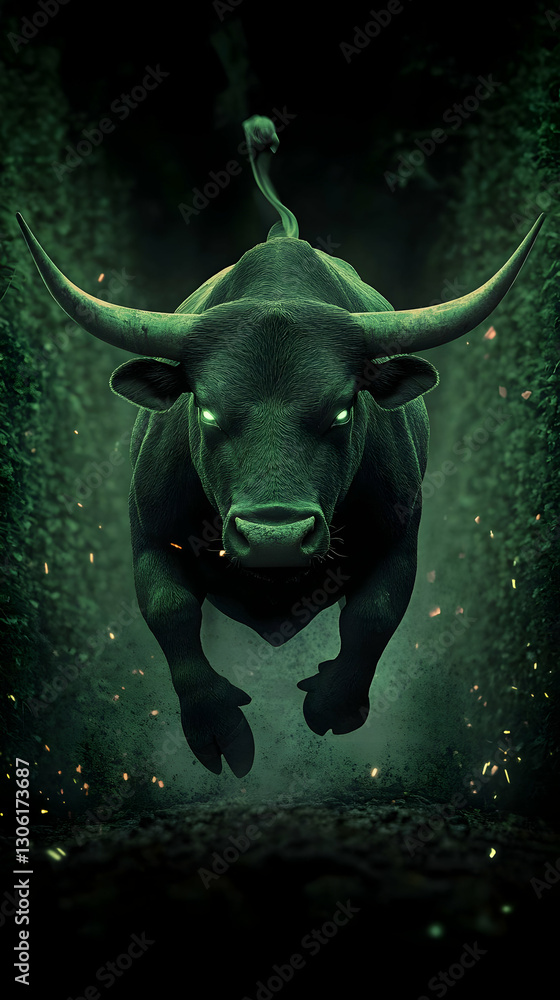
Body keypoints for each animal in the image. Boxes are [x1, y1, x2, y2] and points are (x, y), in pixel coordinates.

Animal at [17, 115, 544, 778]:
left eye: (343, 409)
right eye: (206, 409)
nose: (276, 536)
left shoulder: (400, 538)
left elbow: (374, 616)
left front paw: (331, 703)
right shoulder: (147, 535)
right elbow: (170, 612)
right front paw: (217, 728)